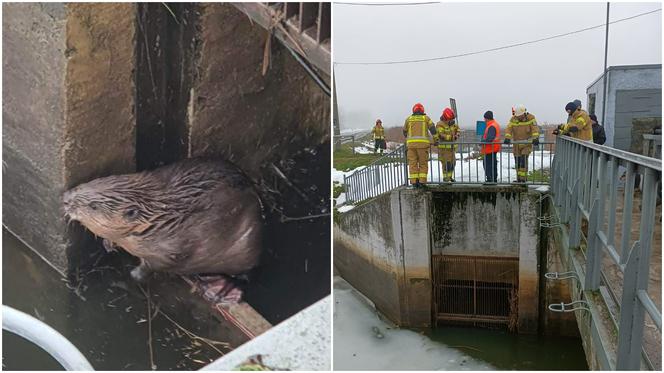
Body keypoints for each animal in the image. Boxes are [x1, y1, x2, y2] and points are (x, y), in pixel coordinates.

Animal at [63, 157, 262, 302]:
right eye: (89, 183)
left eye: (94, 206)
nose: (65, 198)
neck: (162, 220)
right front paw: (108, 243)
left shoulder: (172, 249)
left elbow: (154, 266)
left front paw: (135, 274)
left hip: (249, 243)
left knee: (249, 274)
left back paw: (223, 289)